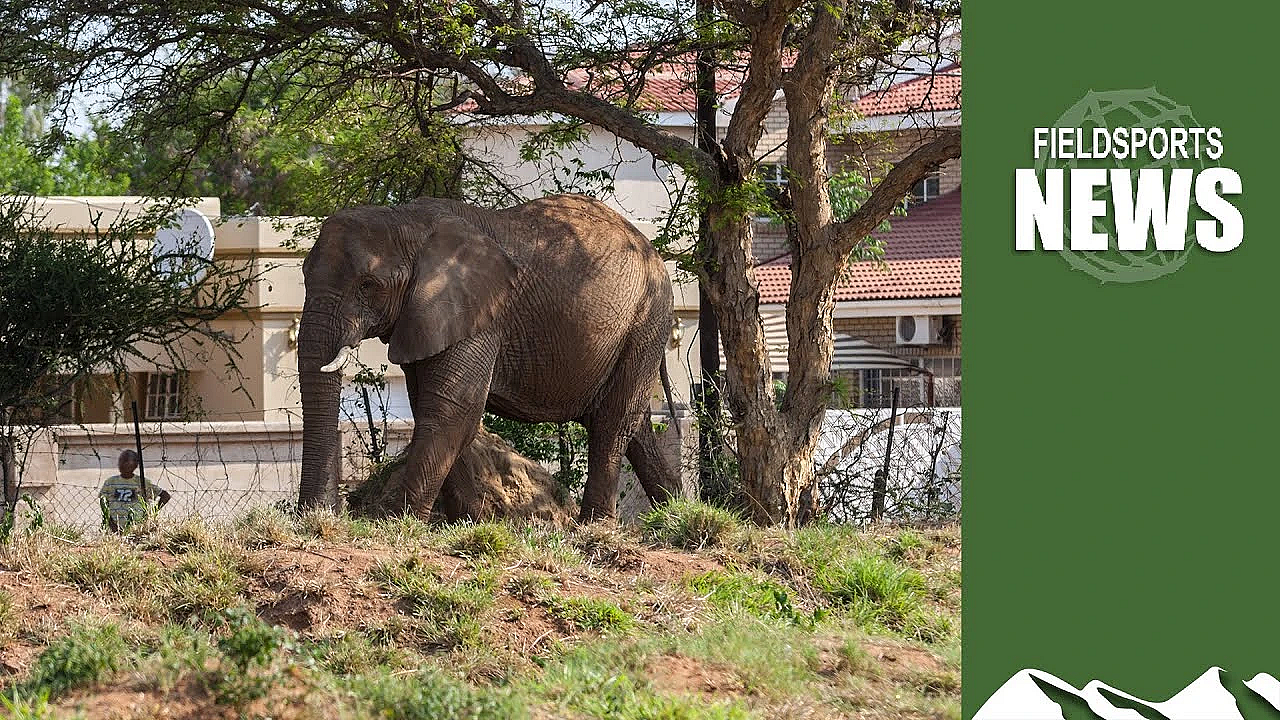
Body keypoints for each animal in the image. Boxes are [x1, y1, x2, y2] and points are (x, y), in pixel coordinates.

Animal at [297, 194, 681, 521]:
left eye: (368, 285)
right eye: (302, 274)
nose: (317, 516)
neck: (407, 220)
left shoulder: (478, 313)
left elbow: (452, 407)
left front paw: (396, 522)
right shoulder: (427, 316)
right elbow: (432, 407)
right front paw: (464, 522)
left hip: (646, 321)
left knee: (612, 422)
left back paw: (594, 525)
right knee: (635, 427)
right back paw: (674, 514)